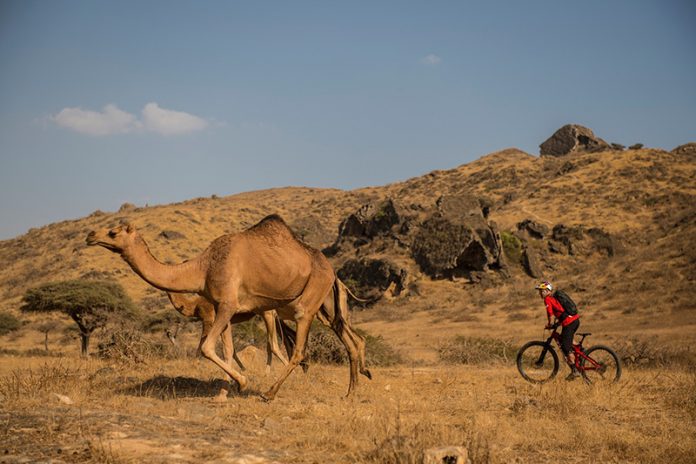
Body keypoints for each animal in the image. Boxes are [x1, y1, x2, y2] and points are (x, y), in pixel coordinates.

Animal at [87, 214, 372, 398]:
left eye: (113, 232)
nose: (90, 235)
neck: (203, 268)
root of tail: (332, 270)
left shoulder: (225, 304)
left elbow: (206, 347)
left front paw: (243, 383)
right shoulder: (222, 307)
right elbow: (226, 350)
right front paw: (224, 393)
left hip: (308, 302)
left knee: (298, 349)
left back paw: (269, 393)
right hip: (326, 306)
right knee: (349, 339)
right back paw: (352, 392)